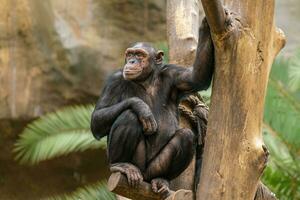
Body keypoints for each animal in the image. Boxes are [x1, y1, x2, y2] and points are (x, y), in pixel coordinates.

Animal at [90, 18, 214, 195]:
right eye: (130, 54)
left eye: (140, 55)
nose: (132, 61)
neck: (146, 80)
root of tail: (144, 176)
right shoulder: (113, 80)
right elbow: (97, 119)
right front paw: (142, 107)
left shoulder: (174, 75)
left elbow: (196, 77)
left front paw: (207, 25)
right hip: (137, 164)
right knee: (129, 116)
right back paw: (121, 165)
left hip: (154, 168)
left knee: (186, 136)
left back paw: (161, 179)